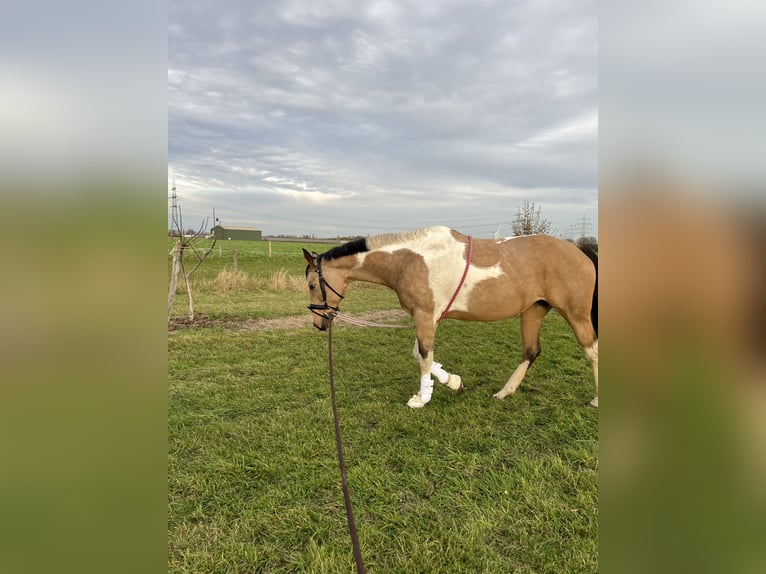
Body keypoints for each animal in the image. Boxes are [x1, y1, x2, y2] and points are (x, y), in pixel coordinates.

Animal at [303, 226, 598, 409]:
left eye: (312, 284)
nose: (318, 323)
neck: (409, 260)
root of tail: (579, 250)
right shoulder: (425, 318)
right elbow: (420, 354)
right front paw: (452, 382)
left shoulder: (424, 316)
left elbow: (424, 356)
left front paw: (421, 397)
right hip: (533, 311)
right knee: (531, 351)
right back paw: (504, 392)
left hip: (575, 314)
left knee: (592, 350)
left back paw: (596, 399)